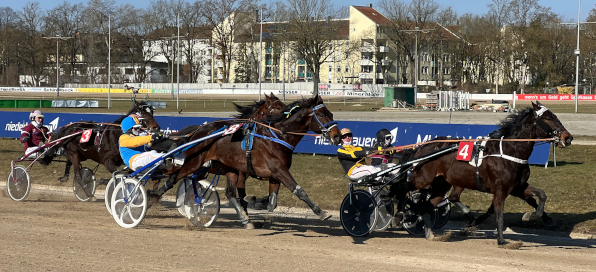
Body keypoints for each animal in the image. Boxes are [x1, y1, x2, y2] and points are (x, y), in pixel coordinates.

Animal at [152, 95, 340, 227]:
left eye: (331, 114)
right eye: (321, 114)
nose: (338, 136)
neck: (277, 136)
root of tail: (198, 131)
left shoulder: (273, 175)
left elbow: (271, 203)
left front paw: (257, 206)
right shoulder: (277, 170)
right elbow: (299, 191)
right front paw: (321, 212)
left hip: (226, 168)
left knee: (225, 192)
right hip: (194, 162)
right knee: (174, 178)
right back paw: (152, 197)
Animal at [408, 102, 572, 246]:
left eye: (555, 116)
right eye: (548, 118)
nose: (568, 137)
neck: (510, 151)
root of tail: (423, 147)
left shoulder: (518, 187)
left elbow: (540, 195)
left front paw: (535, 217)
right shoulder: (501, 189)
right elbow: (499, 213)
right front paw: (501, 241)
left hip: (443, 184)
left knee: (430, 204)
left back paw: (430, 233)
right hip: (424, 179)